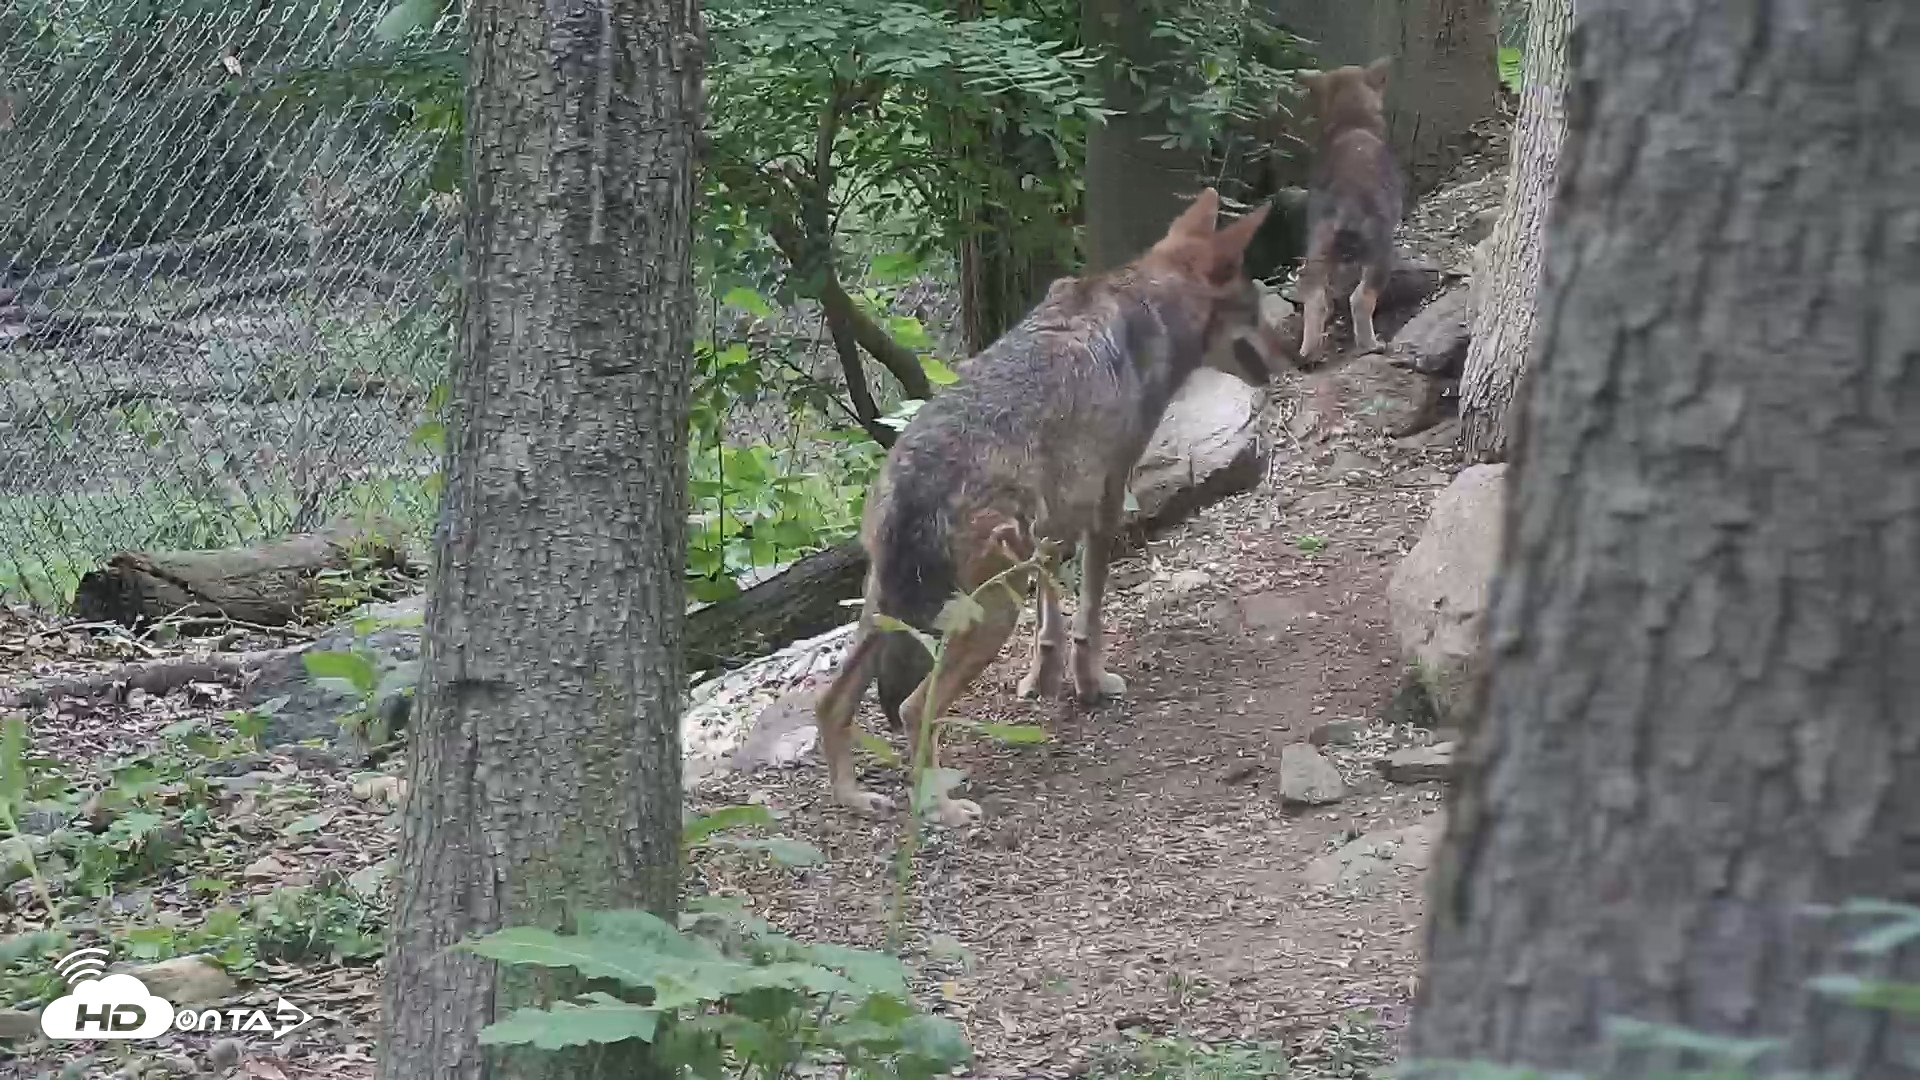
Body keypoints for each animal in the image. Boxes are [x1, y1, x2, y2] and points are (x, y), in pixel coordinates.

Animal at [814, 188, 1289, 828]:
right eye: (1256, 312)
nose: (1298, 353)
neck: (1147, 306)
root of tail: (915, 474)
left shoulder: (1054, 520)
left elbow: (1053, 609)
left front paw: (1043, 677)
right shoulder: (1108, 499)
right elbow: (1089, 612)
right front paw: (1091, 684)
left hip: (885, 607)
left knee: (830, 702)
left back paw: (854, 797)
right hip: (989, 612)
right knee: (914, 711)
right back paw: (944, 809)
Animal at [1296, 58, 1405, 365]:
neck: (1351, 123)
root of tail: (1345, 201)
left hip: (1317, 250)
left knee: (1315, 299)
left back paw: (1308, 352)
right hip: (1380, 252)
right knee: (1361, 298)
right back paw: (1371, 344)